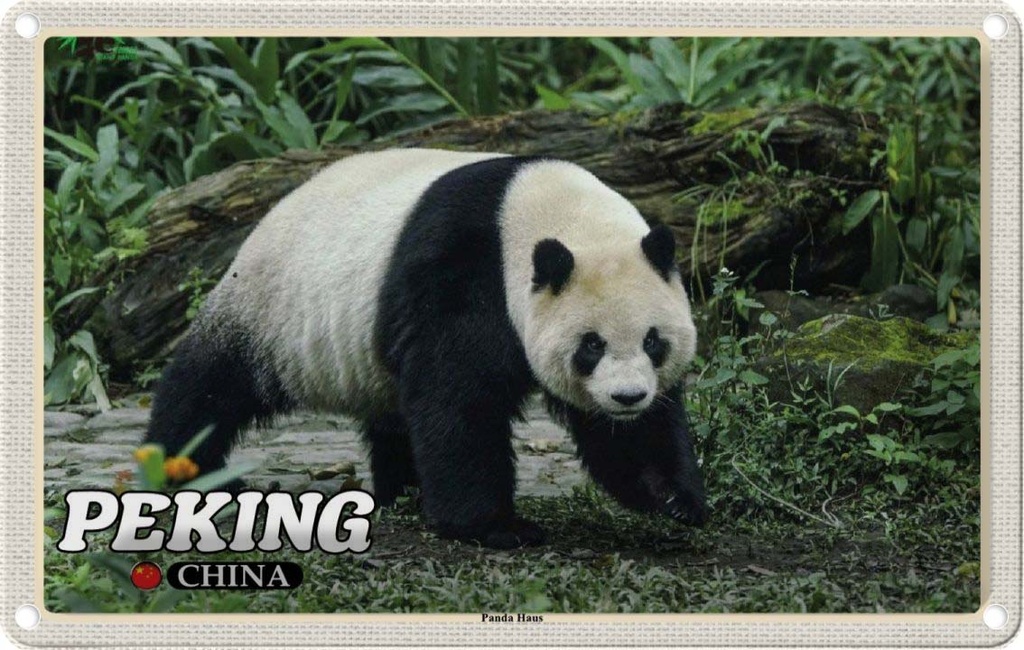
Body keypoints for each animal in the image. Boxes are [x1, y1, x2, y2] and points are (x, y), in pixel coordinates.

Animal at [145, 148, 709, 548]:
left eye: (653, 341)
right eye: (591, 345)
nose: (628, 397)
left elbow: (629, 436)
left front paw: (673, 496)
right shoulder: (465, 269)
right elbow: (458, 397)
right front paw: (494, 527)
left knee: (393, 416)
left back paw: (403, 493)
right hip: (272, 309)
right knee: (210, 386)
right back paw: (187, 472)